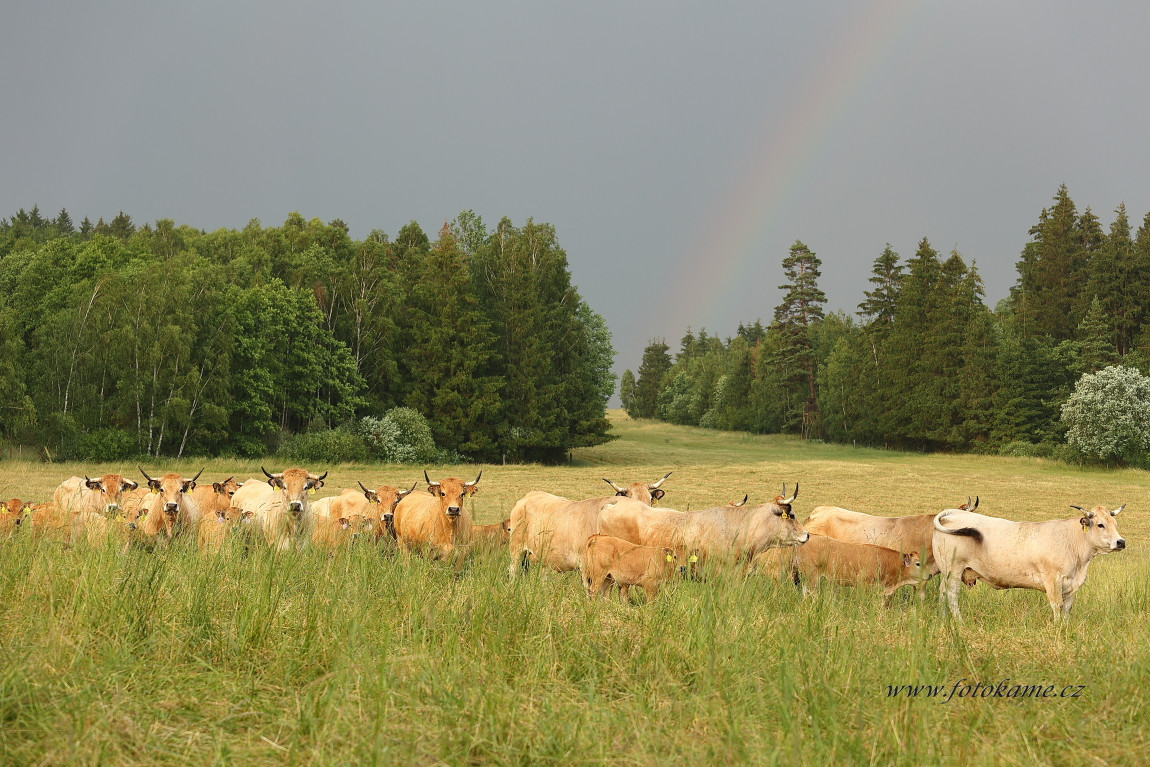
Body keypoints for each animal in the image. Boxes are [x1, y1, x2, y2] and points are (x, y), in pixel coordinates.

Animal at [929, 503, 1127, 625]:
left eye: (1115, 523)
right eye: (1100, 524)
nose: (1121, 542)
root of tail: (955, 513)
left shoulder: (1071, 586)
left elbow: (1067, 608)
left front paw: (1065, 626)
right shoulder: (1053, 580)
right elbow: (1057, 605)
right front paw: (1058, 627)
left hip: (947, 572)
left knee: (942, 593)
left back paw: (942, 618)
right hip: (954, 570)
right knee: (952, 596)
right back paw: (959, 622)